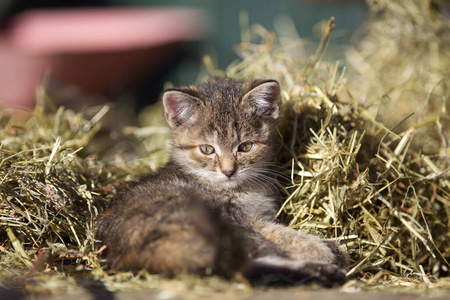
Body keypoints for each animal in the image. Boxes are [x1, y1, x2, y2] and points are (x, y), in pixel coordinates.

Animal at [96, 77, 348, 286]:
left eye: (245, 146)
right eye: (207, 149)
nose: (228, 171)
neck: (241, 189)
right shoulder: (243, 220)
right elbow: (279, 235)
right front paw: (321, 248)